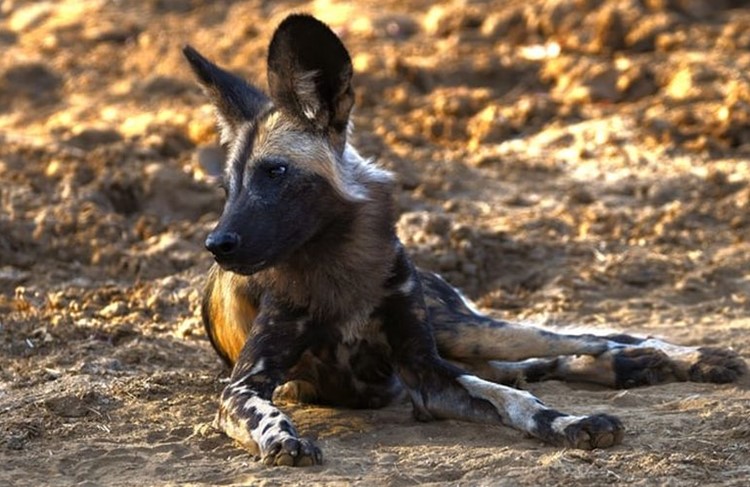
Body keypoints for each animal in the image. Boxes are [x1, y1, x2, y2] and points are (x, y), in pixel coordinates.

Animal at [184, 13, 750, 468]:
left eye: (275, 173)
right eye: (228, 188)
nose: (217, 244)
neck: (343, 265)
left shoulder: (427, 370)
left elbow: (515, 400)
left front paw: (569, 423)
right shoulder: (244, 386)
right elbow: (264, 411)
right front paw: (282, 439)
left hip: (467, 329)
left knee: (590, 338)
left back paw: (683, 359)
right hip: (467, 338)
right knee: (539, 362)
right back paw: (631, 369)